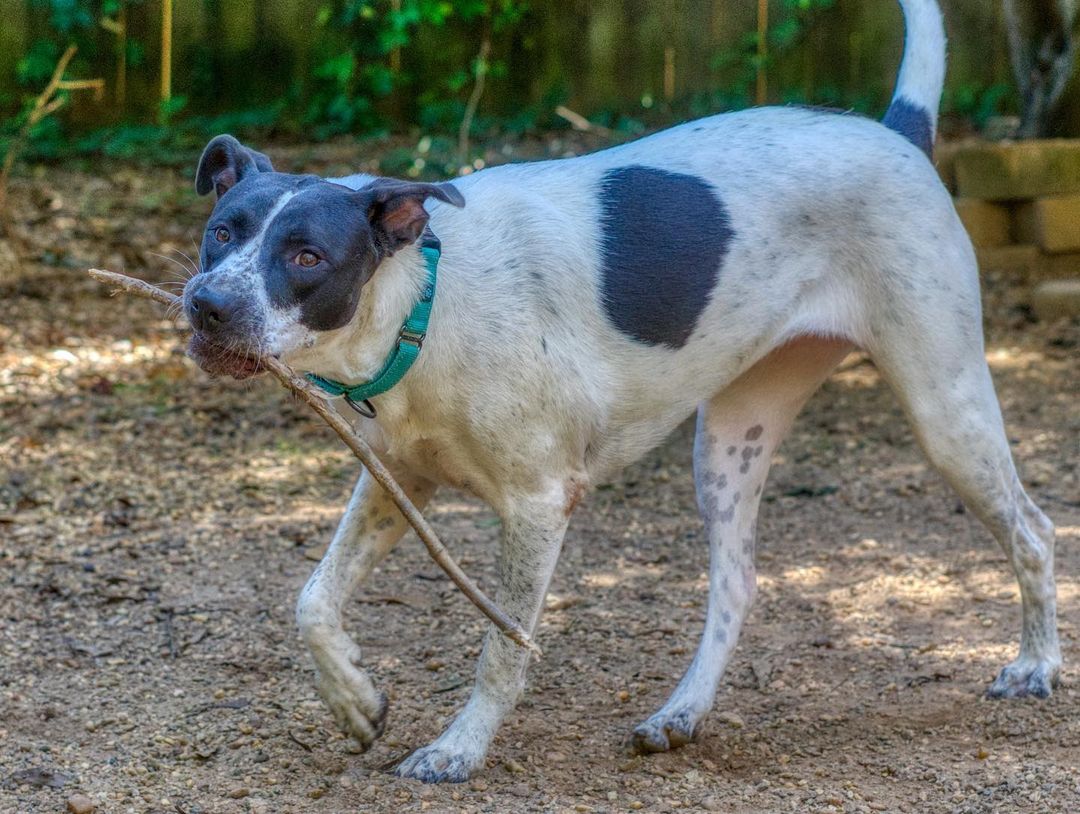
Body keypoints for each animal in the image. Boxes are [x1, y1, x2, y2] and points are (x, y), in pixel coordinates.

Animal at [181, 0, 1058, 781]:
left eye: (306, 257)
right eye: (222, 231)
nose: (206, 305)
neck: (423, 298)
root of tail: (895, 133)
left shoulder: (538, 505)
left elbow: (501, 649)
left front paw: (461, 749)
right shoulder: (398, 481)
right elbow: (312, 600)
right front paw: (354, 701)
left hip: (945, 405)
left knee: (1035, 531)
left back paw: (1037, 667)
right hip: (730, 443)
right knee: (737, 583)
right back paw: (681, 714)